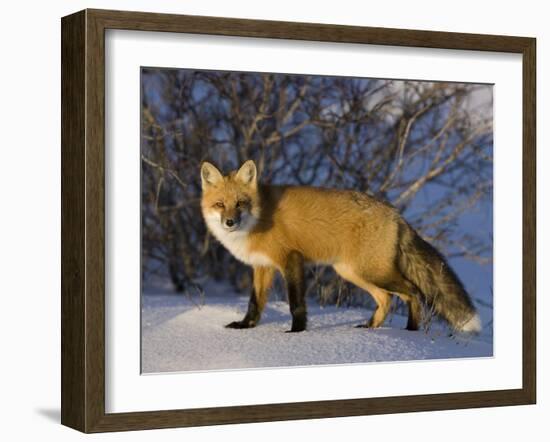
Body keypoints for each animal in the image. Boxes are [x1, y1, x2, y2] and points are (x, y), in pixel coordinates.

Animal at [201, 161, 480, 334]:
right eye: (220, 204)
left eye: (240, 203)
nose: (230, 222)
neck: (258, 219)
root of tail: (396, 214)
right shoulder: (262, 267)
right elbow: (255, 303)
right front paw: (245, 327)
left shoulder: (291, 259)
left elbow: (295, 303)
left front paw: (296, 332)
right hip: (353, 272)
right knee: (387, 299)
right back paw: (370, 328)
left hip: (371, 272)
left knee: (412, 292)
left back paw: (411, 331)